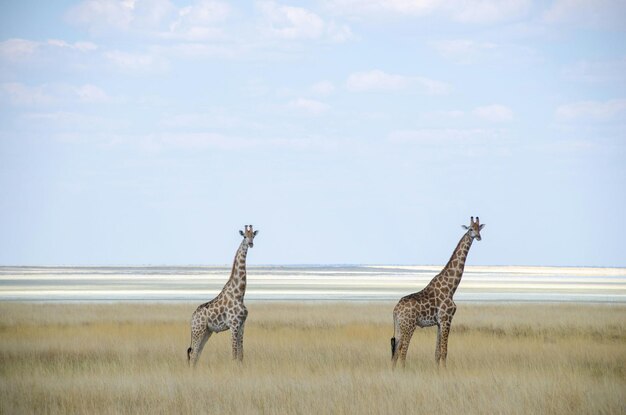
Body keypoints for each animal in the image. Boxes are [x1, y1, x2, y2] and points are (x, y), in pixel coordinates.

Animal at [184, 224, 258, 368]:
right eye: (244, 236)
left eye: (253, 235)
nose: (251, 243)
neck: (240, 294)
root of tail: (192, 318)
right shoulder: (234, 325)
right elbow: (234, 355)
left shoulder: (242, 325)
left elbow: (241, 355)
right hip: (198, 330)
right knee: (193, 353)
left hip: (207, 331)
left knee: (197, 353)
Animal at [390, 218, 482, 370]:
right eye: (470, 229)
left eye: (479, 228)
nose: (479, 237)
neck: (451, 288)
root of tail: (395, 310)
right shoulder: (446, 319)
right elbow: (444, 351)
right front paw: (445, 371)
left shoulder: (439, 323)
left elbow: (437, 352)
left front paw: (438, 370)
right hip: (409, 325)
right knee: (403, 351)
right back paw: (403, 371)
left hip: (399, 326)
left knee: (396, 351)